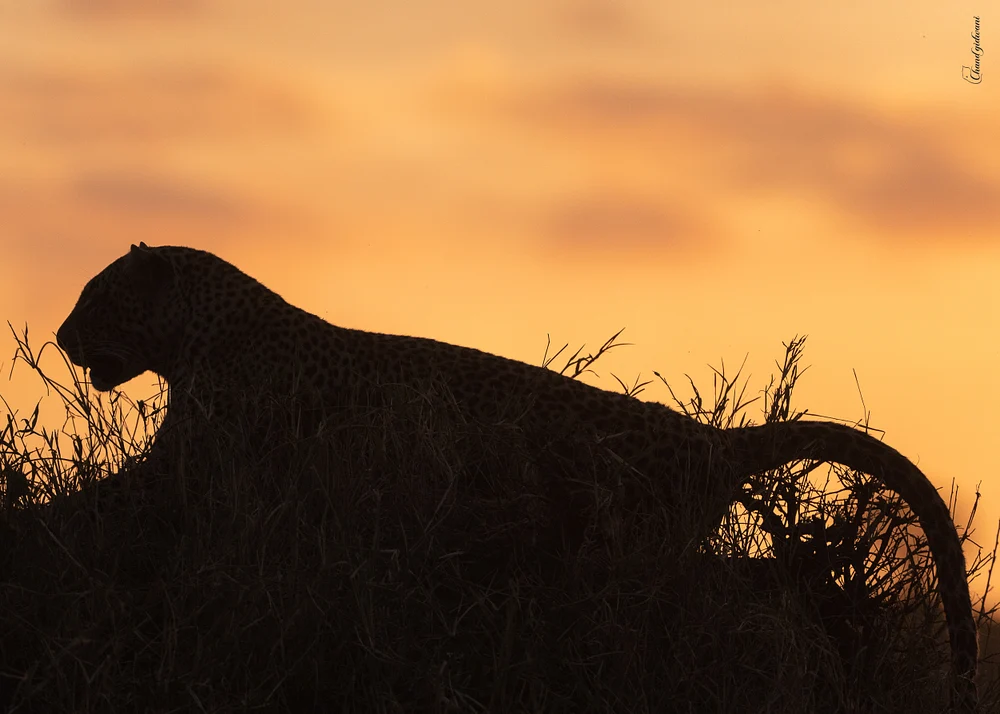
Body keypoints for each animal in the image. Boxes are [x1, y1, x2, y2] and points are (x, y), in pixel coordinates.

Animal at [56, 242, 978, 710]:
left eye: (97, 296)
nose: (63, 338)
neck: (201, 336)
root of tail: (708, 439)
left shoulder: (190, 467)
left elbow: (97, 502)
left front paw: (37, 510)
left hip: (625, 561)